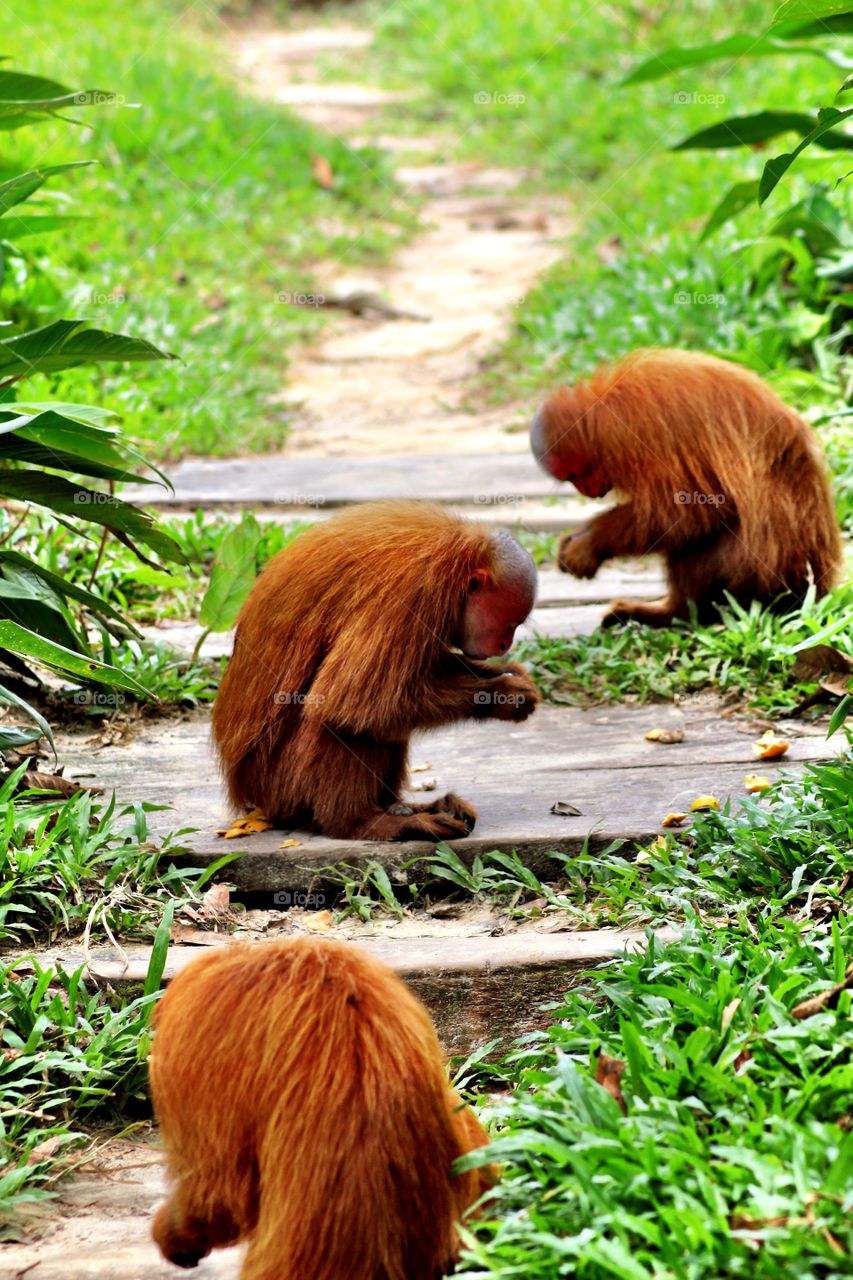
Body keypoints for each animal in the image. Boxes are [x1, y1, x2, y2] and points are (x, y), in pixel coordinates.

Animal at [208, 499, 535, 839]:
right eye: (510, 624)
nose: (504, 645)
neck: (455, 562)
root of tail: (250, 798)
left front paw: (505, 674)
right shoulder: (413, 591)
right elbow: (355, 703)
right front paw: (502, 695)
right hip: (282, 787)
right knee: (342, 718)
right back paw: (365, 821)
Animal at [527, 348, 840, 627]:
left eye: (576, 475)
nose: (586, 491)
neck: (603, 408)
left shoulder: (637, 431)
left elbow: (692, 510)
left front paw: (589, 546)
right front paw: (578, 536)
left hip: (754, 570)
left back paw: (676, 615)